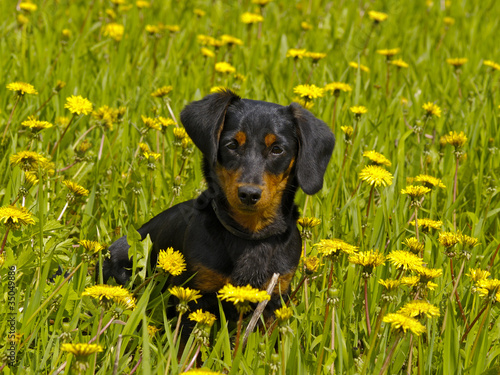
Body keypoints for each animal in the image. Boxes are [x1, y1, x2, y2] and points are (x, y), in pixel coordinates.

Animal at [100, 90, 336, 324]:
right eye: (231, 145)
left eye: (277, 149)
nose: (249, 194)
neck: (250, 235)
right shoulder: (195, 294)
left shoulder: (274, 298)